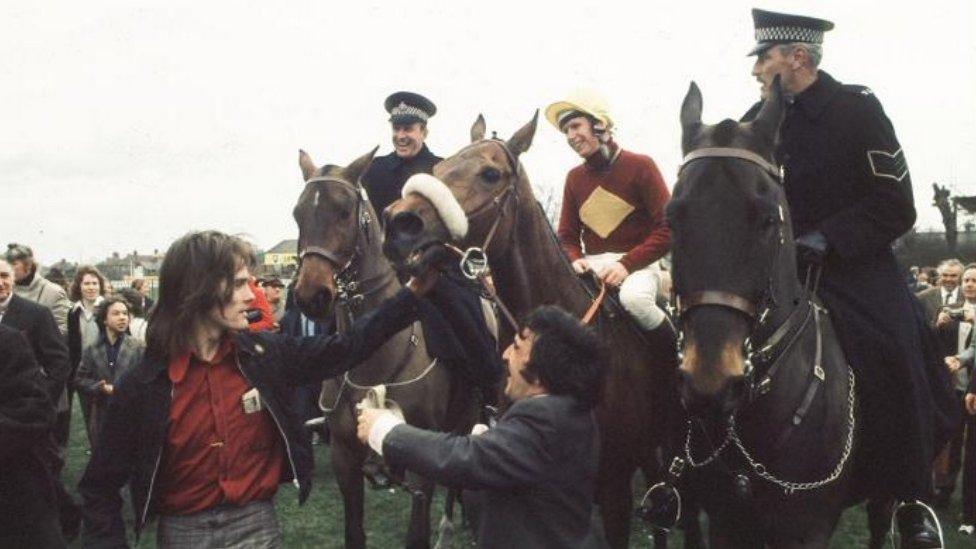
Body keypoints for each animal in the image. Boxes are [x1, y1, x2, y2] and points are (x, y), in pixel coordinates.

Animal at [292, 148, 470, 544]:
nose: (312, 295)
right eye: (297, 213)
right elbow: (354, 532)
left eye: (344, 210)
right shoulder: (344, 456)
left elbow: (416, 534)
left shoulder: (422, 465)